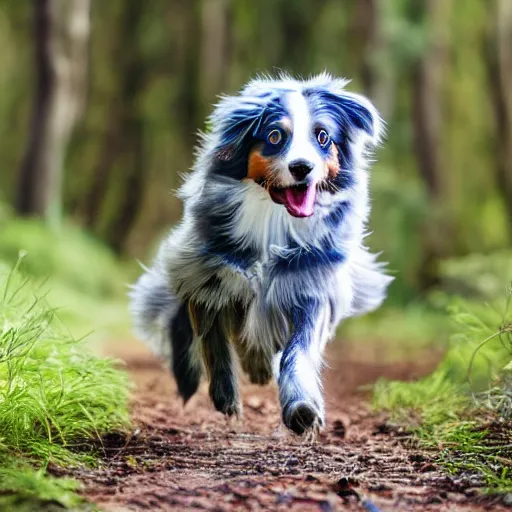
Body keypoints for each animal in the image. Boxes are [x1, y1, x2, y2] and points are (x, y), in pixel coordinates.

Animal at [129, 72, 392, 434]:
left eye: (323, 136)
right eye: (275, 135)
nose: (302, 167)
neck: (273, 222)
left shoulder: (307, 283)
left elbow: (298, 349)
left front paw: (302, 409)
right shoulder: (206, 272)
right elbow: (212, 339)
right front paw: (226, 396)